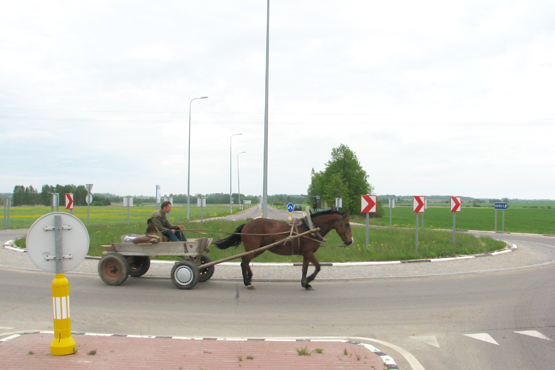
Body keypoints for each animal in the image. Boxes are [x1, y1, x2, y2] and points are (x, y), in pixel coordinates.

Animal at [213, 210, 352, 290]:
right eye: (346, 224)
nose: (350, 241)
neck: (310, 229)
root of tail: (246, 225)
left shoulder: (306, 254)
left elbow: (304, 269)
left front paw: (305, 283)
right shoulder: (309, 253)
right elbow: (318, 267)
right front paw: (309, 280)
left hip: (258, 249)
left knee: (245, 262)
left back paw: (250, 277)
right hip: (254, 248)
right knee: (244, 262)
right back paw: (247, 282)